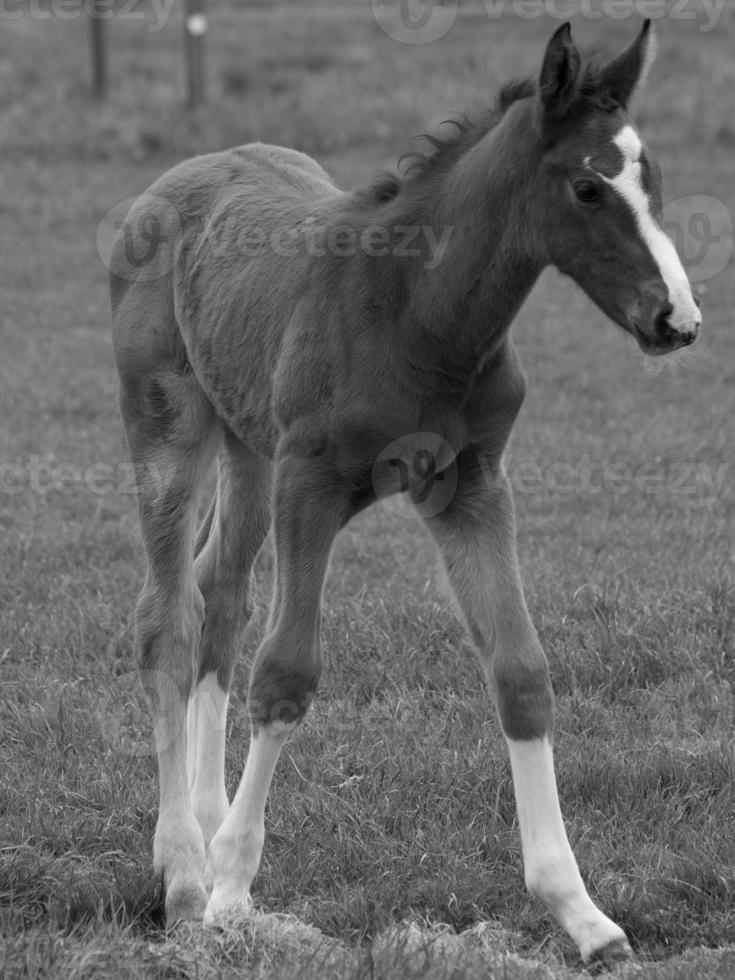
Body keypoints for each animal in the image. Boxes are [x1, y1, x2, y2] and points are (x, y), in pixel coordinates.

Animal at [110, 21, 700, 964]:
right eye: (585, 186)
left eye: (653, 181)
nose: (676, 320)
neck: (415, 312)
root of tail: (180, 175)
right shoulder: (310, 485)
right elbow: (286, 671)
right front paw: (234, 892)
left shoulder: (471, 489)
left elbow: (521, 673)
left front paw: (581, 914)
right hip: (169, 424)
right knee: (168, 618)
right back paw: (184, 874)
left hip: (248, 447)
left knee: (219, 597)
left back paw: (203, 823)